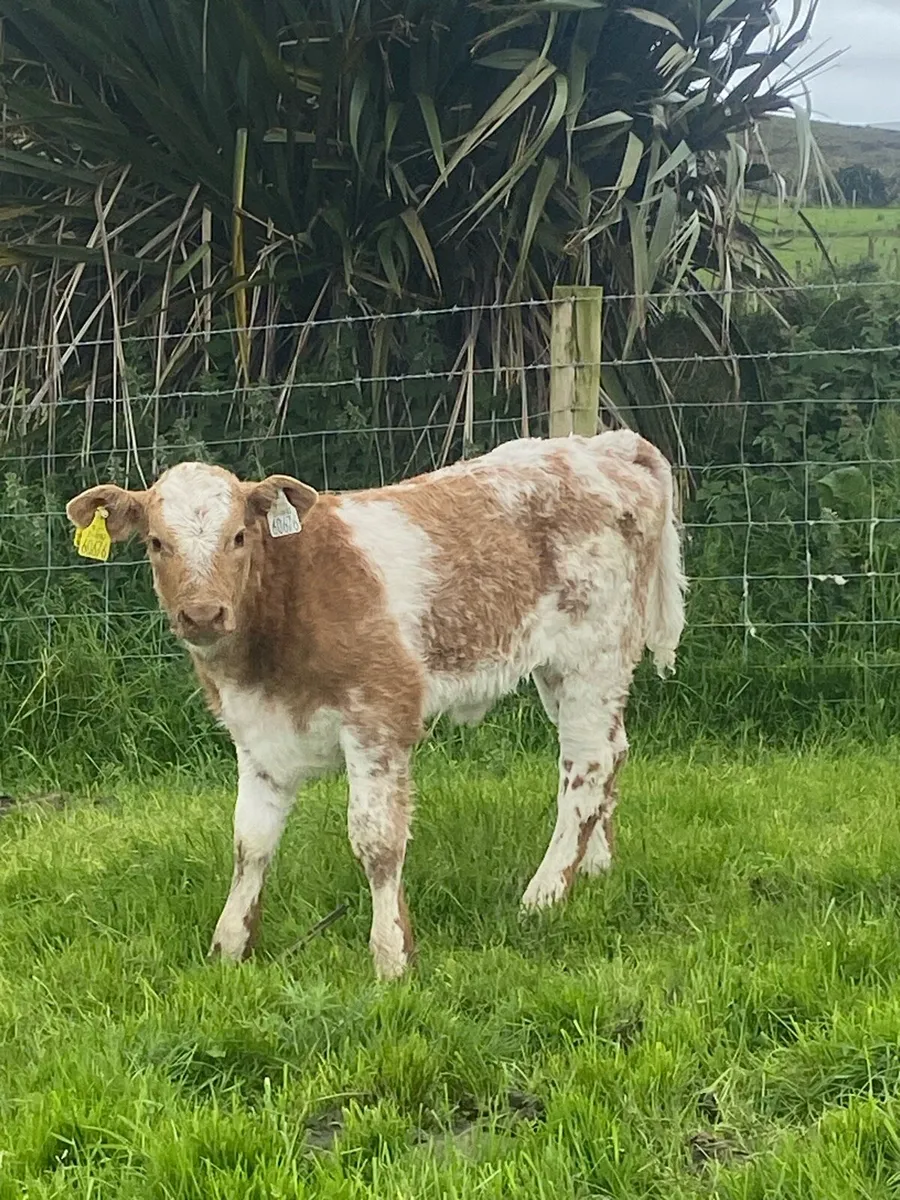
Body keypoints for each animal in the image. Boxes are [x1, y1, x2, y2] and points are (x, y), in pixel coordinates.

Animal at [67, 430, 685, 980]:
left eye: (239, 536)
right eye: (156, 543)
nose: (202, 614)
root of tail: (602, 445)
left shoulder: (379, 715)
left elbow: (377, 840)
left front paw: (393, 956)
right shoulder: (255, 733)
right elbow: (250, 841)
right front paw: (230, 946)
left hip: (593, 653)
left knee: (587, 766)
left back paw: (544, 895)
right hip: (558, 669)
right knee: (610, 752)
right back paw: (595, 867)